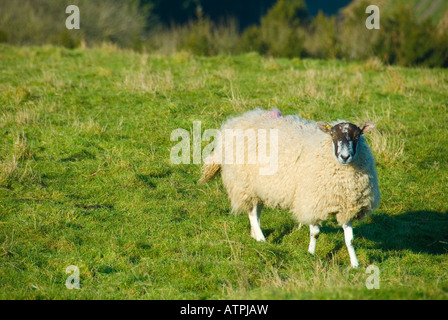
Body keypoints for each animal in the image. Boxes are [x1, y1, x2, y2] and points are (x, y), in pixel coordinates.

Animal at [198, 109, 380, 268]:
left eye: (357, 136)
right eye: (333, 135)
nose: (345, 156)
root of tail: (239, 120)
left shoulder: (347, 207)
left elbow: (350, 240)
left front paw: (355, 264)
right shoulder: (311, 202)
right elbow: (315, 233)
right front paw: (310, 254)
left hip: (260, 186)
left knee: (257, 211)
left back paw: (256, 235)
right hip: (244, 184)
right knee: (251, 212)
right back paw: (261, 238)